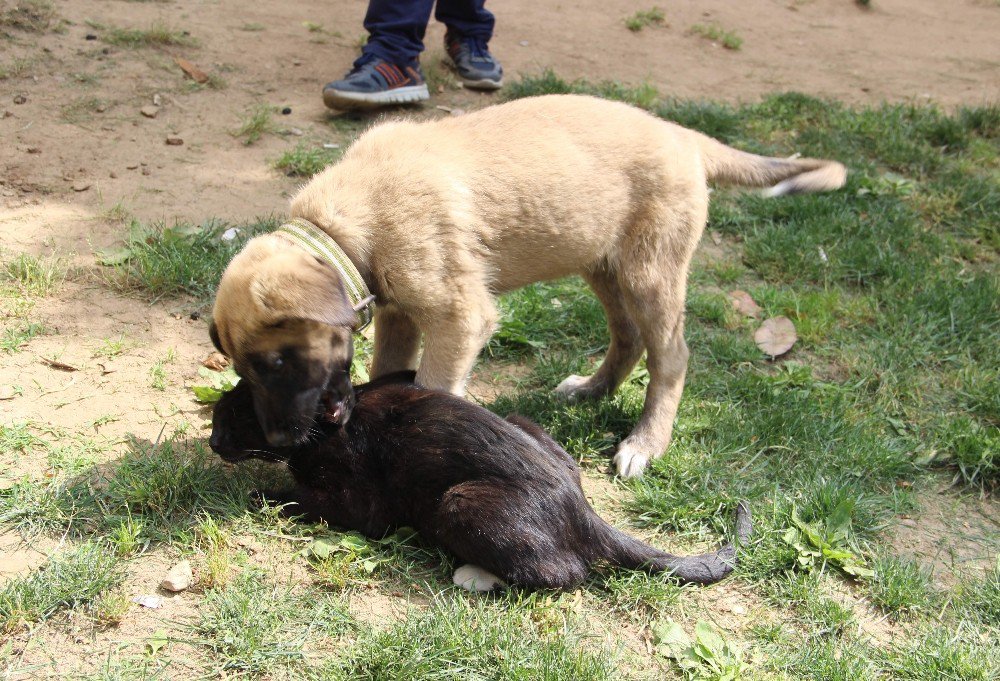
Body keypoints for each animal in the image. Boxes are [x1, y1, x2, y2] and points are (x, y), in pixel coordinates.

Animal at [213, 372, 756, 588]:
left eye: (239, 417)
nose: (213, 439)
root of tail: (582, 507)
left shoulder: (361, 506)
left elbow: (297, 496)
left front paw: (261, 493)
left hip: (457, 502)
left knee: (566, 572)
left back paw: (472, 577)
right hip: (523, 423)